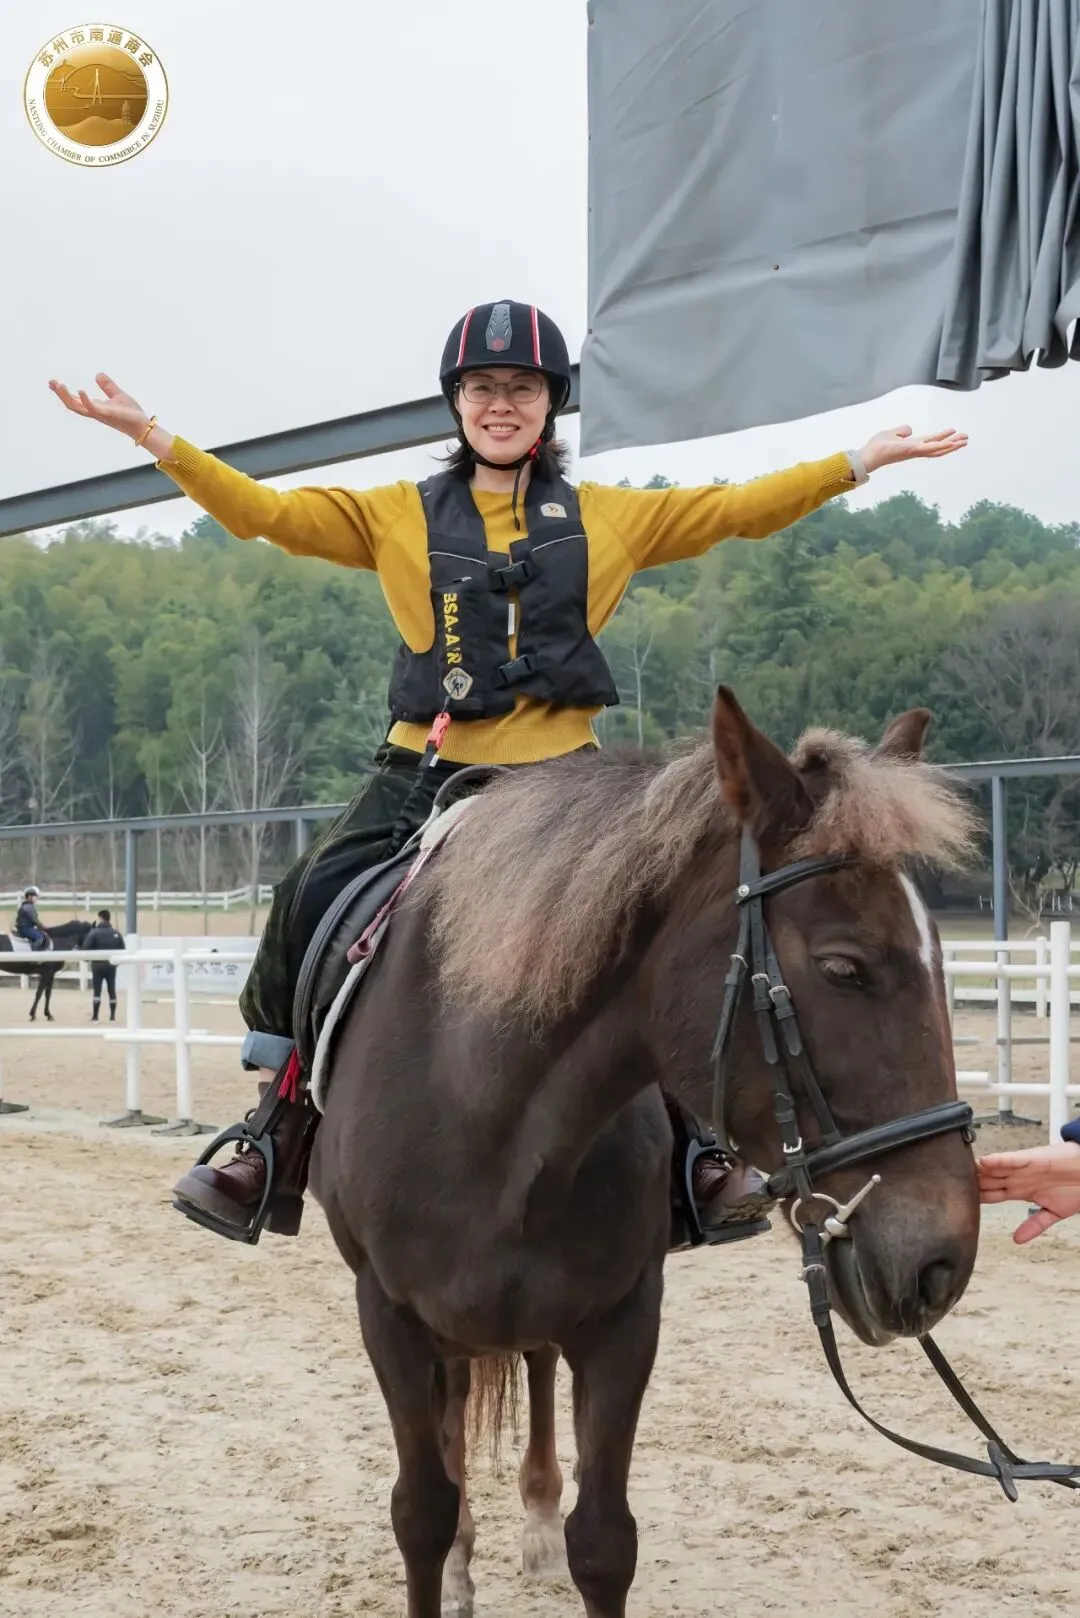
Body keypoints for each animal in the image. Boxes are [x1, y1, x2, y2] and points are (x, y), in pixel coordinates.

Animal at [307, 688, 981, 1618]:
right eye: (845, 967)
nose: (942, 1260)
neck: (486, 1109)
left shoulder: (624, 1317)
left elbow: (604, 1541)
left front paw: (557, 1534)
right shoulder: (390, 1316)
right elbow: (422, 1514)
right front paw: (448, 1562)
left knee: (534, 1369)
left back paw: (535, 1522)